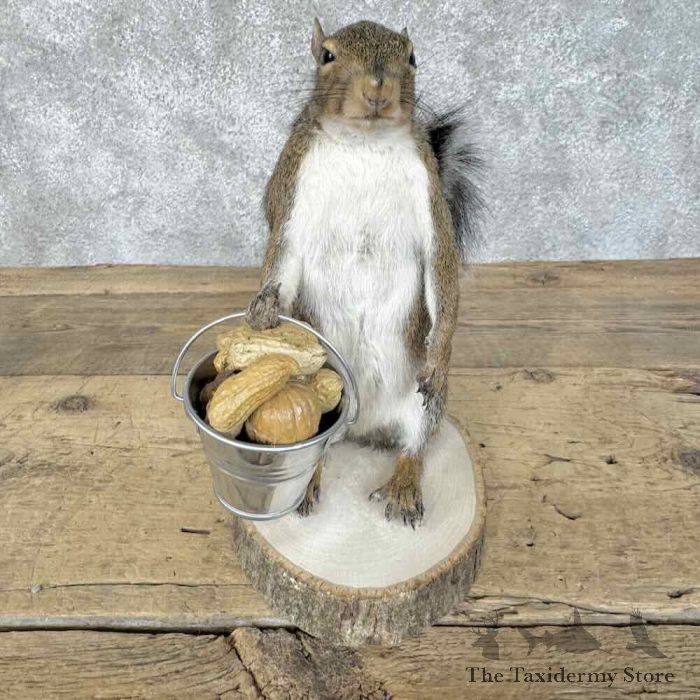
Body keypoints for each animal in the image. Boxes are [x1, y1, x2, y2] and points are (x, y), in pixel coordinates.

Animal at [246, 19, 482, 527]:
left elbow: (442, 268)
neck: (364, 143)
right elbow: (282, 259)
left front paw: (439, 352)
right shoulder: (291, 193)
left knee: (415, 444)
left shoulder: (430, 202)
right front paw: (265, 308)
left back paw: (404, 486)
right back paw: (307, 483)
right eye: (327, 56)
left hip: (422, 406)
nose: (378, 88)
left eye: (412, 56)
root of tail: (365, 427)